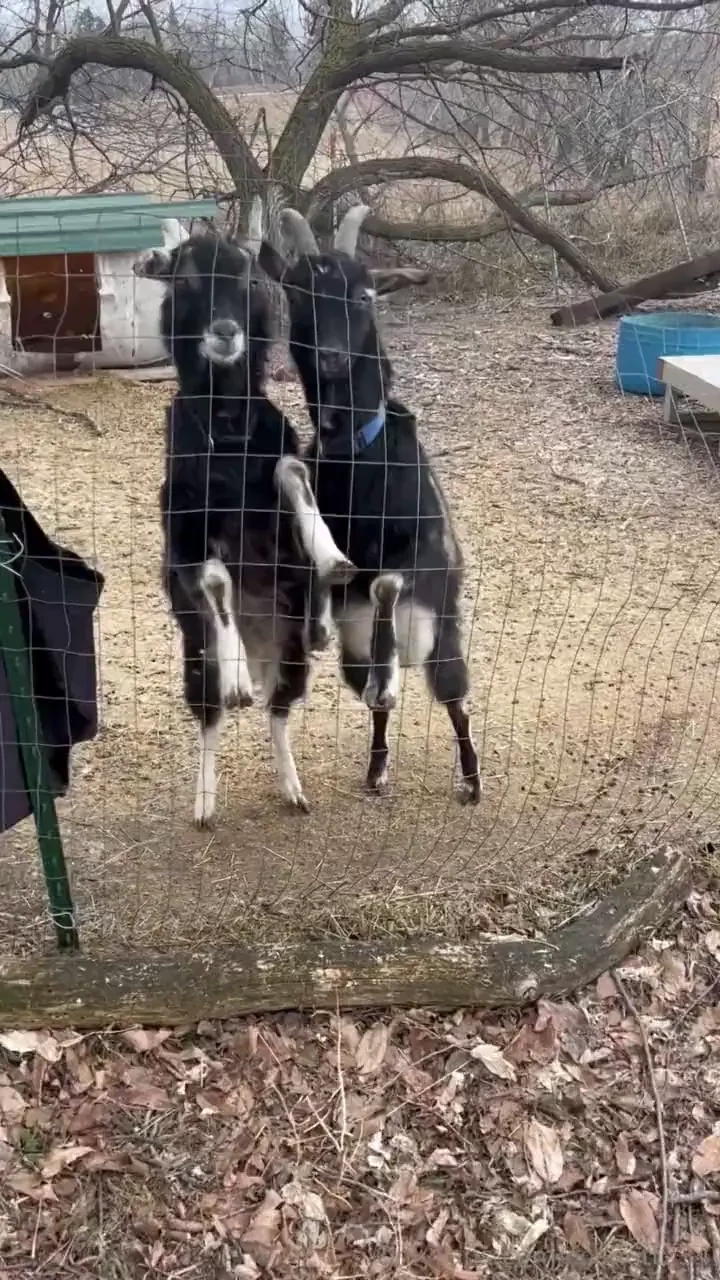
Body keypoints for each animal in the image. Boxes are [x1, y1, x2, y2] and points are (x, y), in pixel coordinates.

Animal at [135, 211, 355, 825]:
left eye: (250, 279)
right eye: (184, 277)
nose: (227, 331)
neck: (228, 432)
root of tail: (262, 638)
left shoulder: (281, 468)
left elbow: (291, 471)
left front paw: (331, 554)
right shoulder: (182, 524)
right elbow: (213, 577)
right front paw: (233, 675)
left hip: (292, 653)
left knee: (278, 712)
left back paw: (293, 787)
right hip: (195, 659)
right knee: (213, 716)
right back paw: (206, 799)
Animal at [258, 206, 481, 804]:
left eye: (365, 295)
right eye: (297, 290)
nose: (332, 357)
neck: (359, 455)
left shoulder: (425, 552)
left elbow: (387, 579)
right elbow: (288, 475)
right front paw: (326, 581)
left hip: (438, 638)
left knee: (454, 699)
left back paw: (470, 777)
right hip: (355, 652)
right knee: (373, 702)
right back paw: (377, 765)